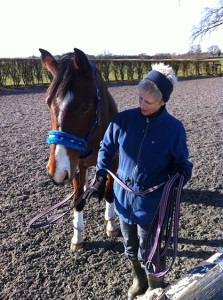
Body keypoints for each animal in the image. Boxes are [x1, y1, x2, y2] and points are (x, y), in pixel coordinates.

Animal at [39, 48, 118, 250]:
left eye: (85, 107)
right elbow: (77, 200)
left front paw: (111, 225)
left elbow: (109, 193)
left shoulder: (113, 163)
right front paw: (77, 237)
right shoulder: (74, 166)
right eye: (48, 102)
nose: (55, 172)